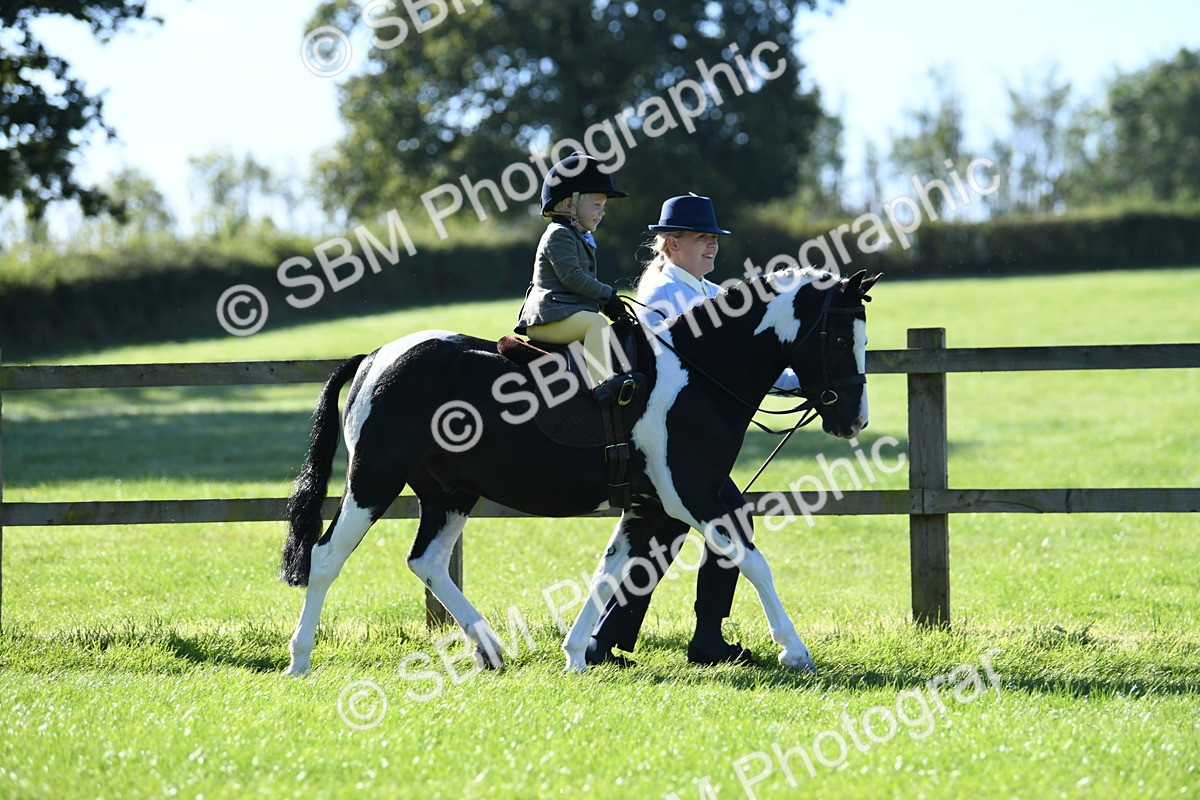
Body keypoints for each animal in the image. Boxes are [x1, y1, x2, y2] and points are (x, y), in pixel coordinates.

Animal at [279, 267, 880, 675]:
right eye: (839, 337)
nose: (854, 420)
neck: (697, 376)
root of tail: (376, 357)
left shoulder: (651, 506)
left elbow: (609, 570)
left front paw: (576, 654)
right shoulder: (694, 495)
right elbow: (753, 562)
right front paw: (794, 651)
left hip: (449, 493)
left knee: (426, 561)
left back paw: (491, 649)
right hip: (373, 481)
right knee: (325, 557)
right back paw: (300, 659)